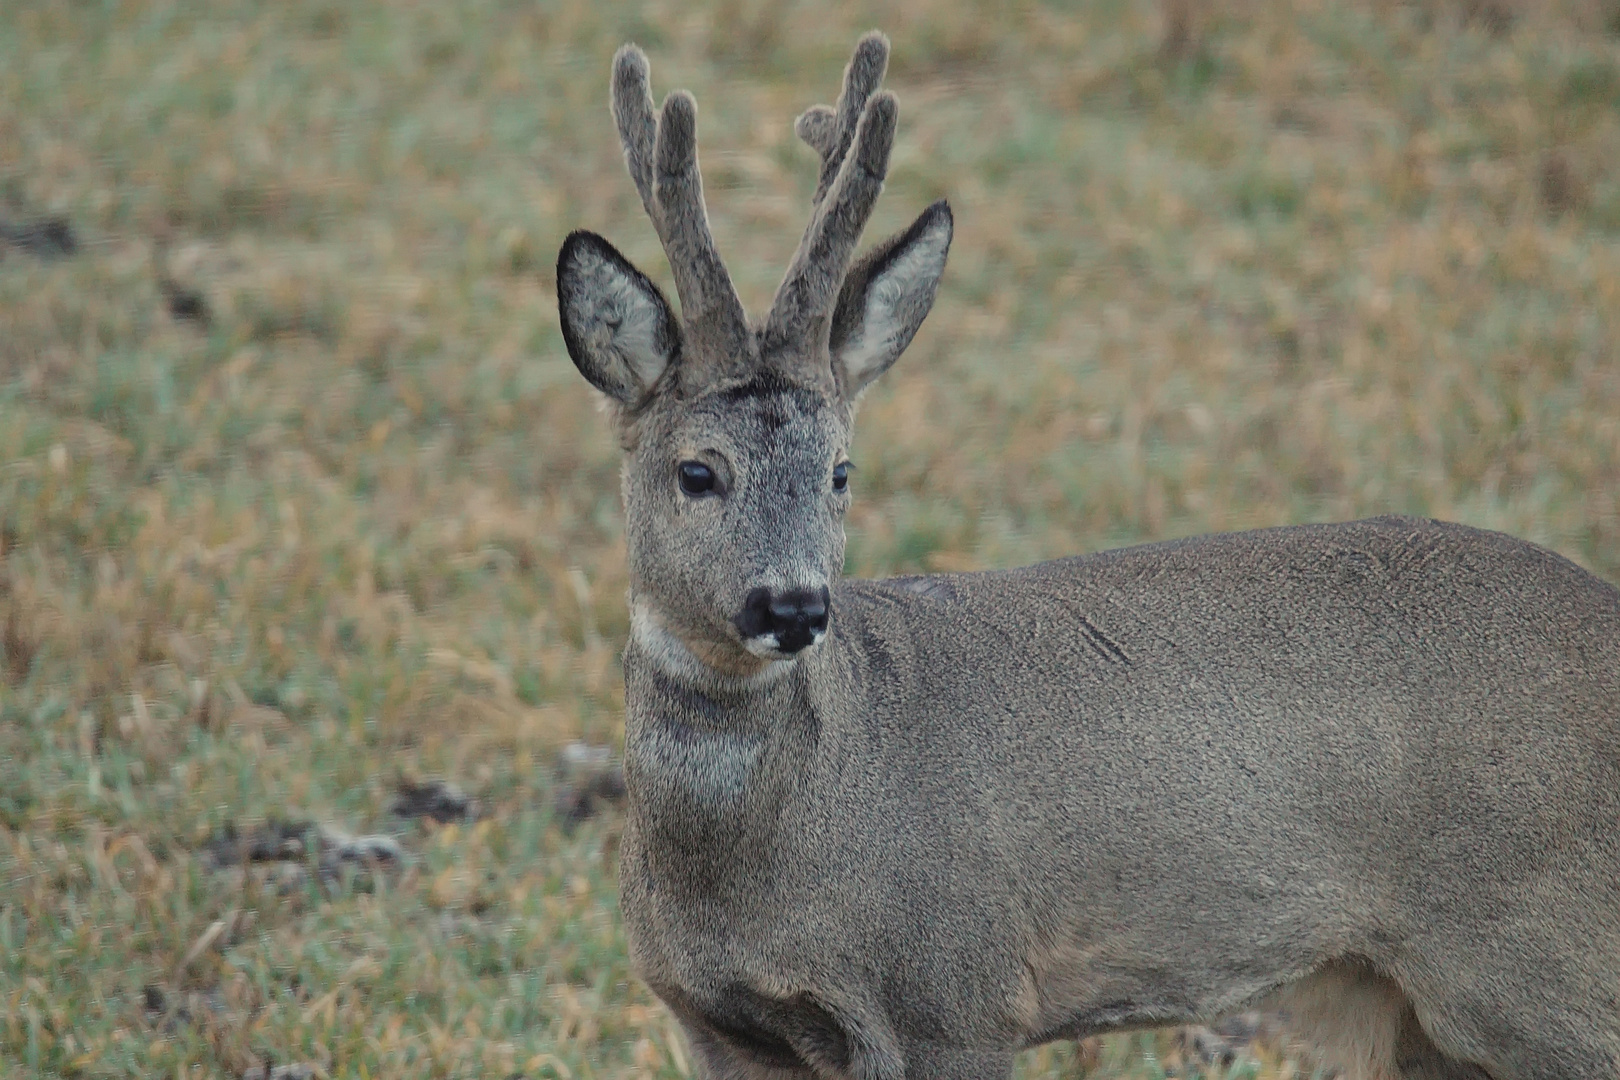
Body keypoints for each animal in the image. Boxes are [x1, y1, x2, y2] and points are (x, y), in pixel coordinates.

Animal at [557, 29, 1620, 1080]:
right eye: (698, 471)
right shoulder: (715, 1021)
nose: (792, 607)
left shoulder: (956, 996)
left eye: (840, 471)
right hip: (1421, 1017)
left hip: (1546, 964)